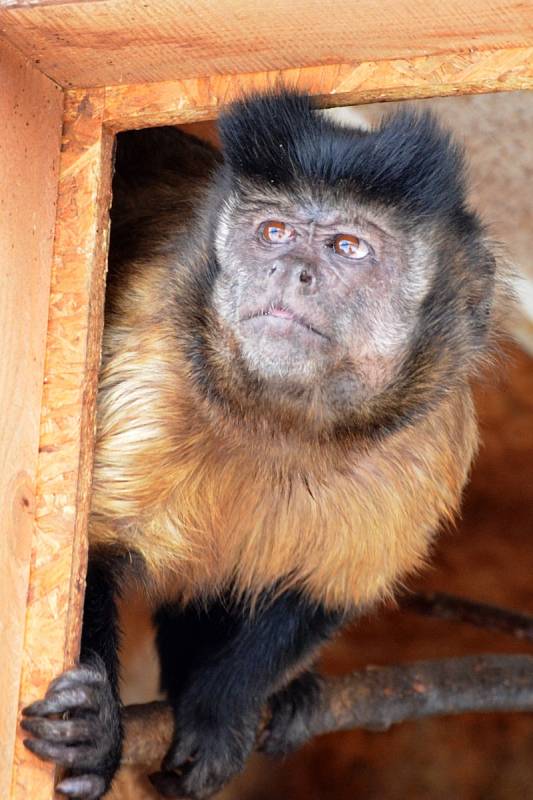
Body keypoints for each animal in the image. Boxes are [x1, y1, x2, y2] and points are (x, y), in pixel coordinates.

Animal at [21, 90, 502, 800]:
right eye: (273, 232)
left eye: (348, 246)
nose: (291, 269)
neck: (279, 426)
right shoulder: (147, 365)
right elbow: (87, 558)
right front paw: (95, 734)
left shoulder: (432, 440)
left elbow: (325, 591)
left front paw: (219, 709)